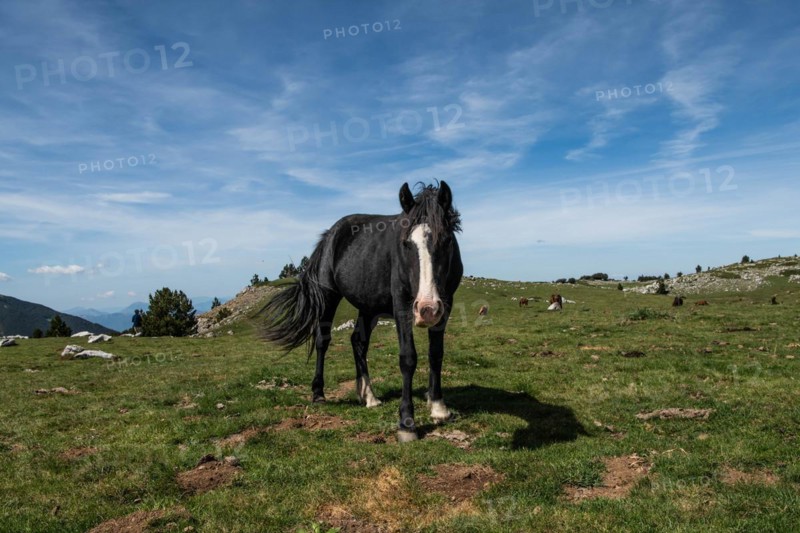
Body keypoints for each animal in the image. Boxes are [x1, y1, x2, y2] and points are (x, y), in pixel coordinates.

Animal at [261, 181, 463, 442]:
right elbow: (408, 358)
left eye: (446, 241)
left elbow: (436, 353)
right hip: (328, 298)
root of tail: (330, 235)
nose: (426, 309)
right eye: (406, 244)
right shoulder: (402, 305)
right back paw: (318, 393)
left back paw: (368, 395)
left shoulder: (445, 305)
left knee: (358, 341)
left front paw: (438, 407)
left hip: (369, 307)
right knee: (323, 341)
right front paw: (407, 423)